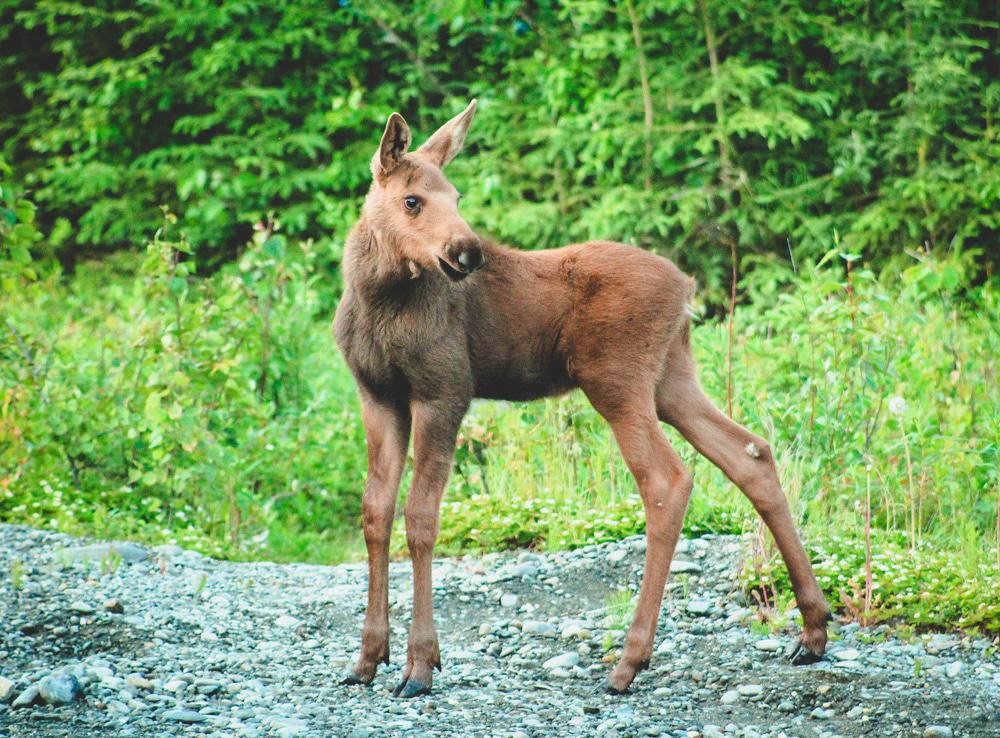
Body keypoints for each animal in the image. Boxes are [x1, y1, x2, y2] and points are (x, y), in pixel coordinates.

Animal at [333, 100, 831, 698]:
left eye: (456, 197)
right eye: (412, 200)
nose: (468, 252)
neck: (378, 296)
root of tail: (687, 288)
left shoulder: (444, 390)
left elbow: (422, 517)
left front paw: (421, 665)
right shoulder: (378, 395)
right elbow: (375, 512)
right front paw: (366, 658)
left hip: (615, 377)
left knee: (668, 479)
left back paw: (629, 661)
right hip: (671, 377)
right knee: (750, 452)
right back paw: (813, 630)